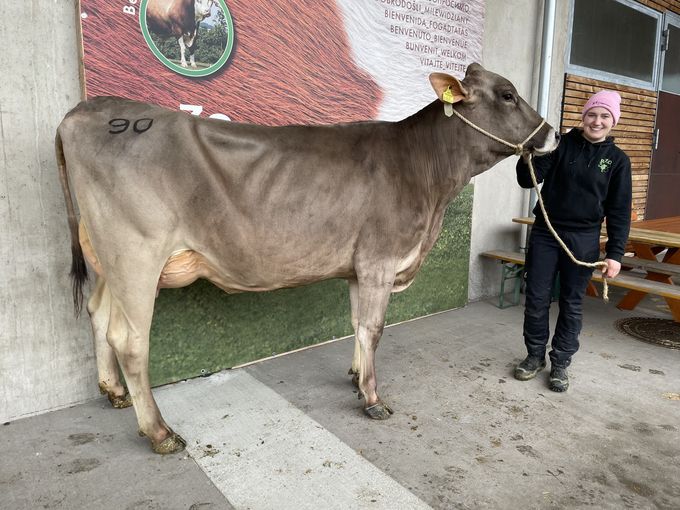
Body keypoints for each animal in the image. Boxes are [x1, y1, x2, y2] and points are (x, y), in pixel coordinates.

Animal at [57, 64, 556, 454]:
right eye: (507, 94)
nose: (552, 134)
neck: (425, 177)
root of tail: (87, 111)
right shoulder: (379, 259)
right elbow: (374, 329)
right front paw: (373, 398)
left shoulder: (359, 266)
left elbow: (356, 323)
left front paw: (355, 375)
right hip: (136, 256)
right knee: (130, 340)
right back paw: (160, 432)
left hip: (106, 258)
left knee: (99, 315)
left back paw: (113, 392)